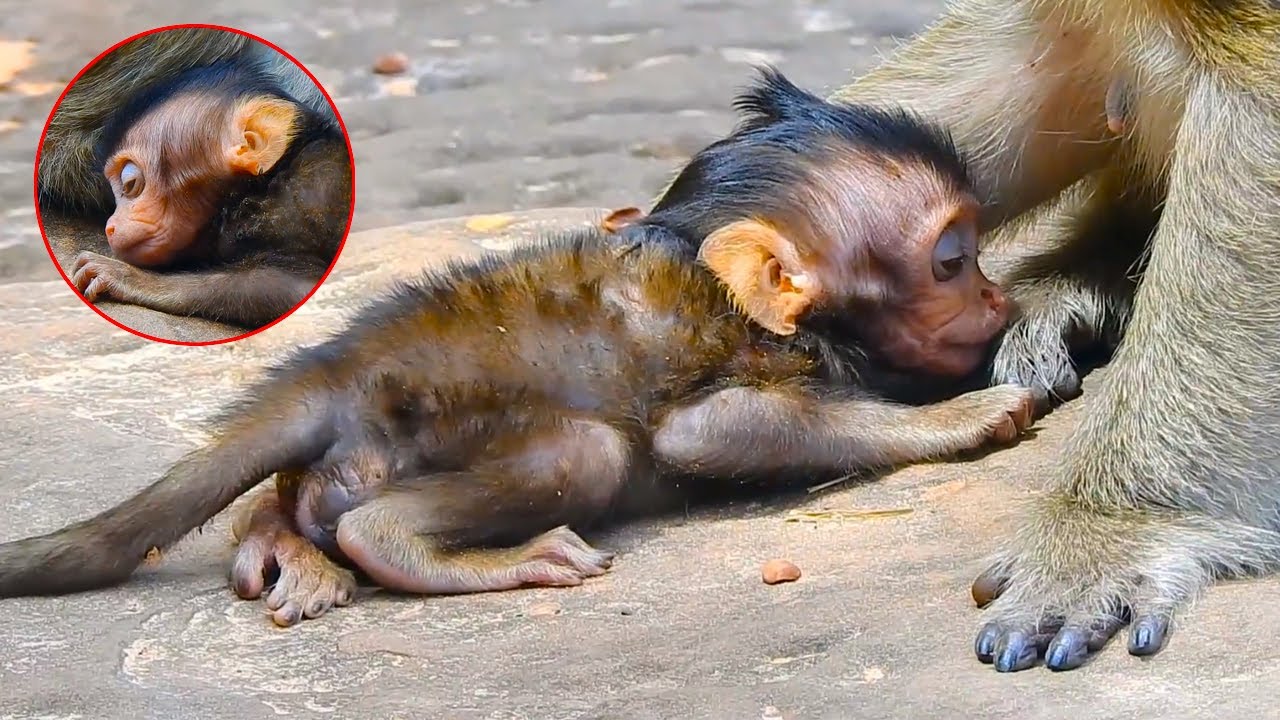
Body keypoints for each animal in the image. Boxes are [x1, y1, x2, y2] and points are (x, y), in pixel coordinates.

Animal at [0, 72, 1035, 629]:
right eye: (952, 261)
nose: (995, 295)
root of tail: (332, 372)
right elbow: (710, 434)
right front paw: (963, 415)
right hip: (416, 434)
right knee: (582, 454)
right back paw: (418, 549)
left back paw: (279, 542)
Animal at [37, 27, 352, 330]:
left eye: (129, 182)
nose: (110, 226)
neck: (266, 183)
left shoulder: (302, 200)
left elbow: (297, 287)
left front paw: (129, 278)